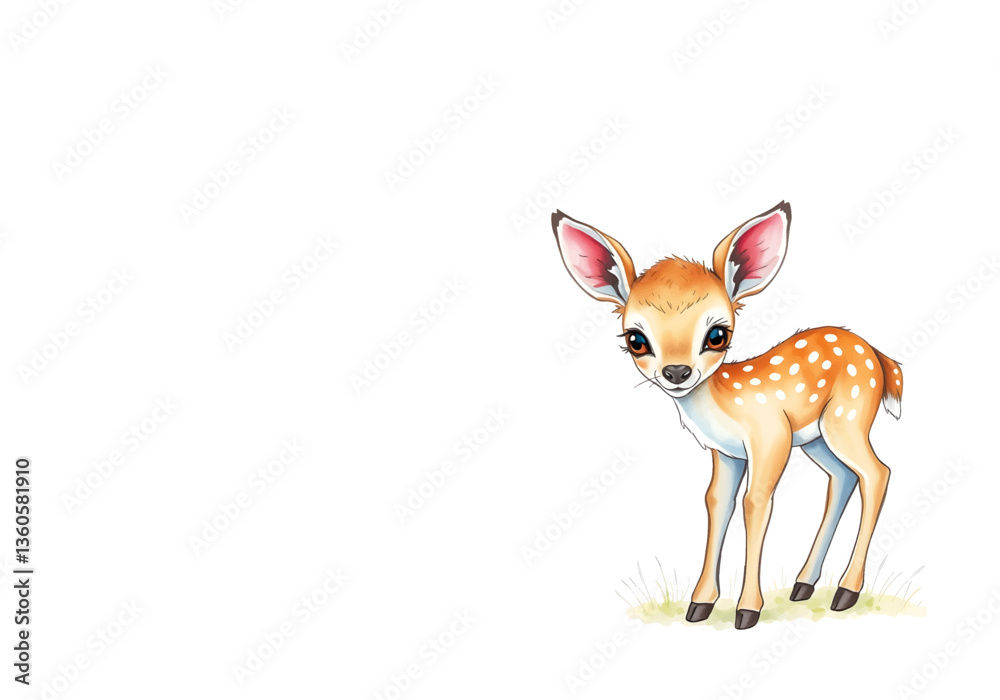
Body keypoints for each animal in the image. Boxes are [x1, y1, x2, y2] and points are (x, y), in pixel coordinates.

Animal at [550, 202, 902, 630]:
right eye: (636, 339)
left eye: (717, 334)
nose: (677, 372)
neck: (726, 403)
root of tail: (878, 357)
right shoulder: (727, 453)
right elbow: (717, 502)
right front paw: (699, 604)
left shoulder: (769, 437)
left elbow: (755, 502)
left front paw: (747, 610)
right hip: (815, 437)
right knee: (843, 477)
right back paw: (804, 584)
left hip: (847, 416)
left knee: (877, 472)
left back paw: (845, 592)